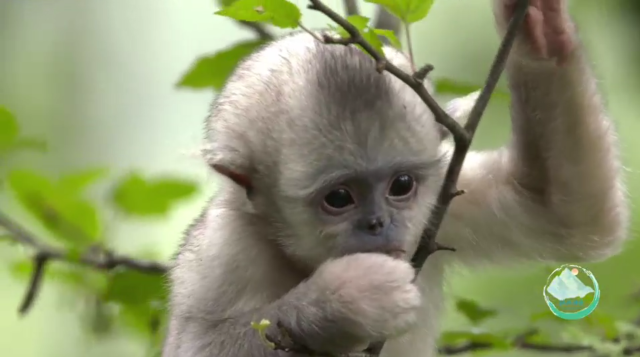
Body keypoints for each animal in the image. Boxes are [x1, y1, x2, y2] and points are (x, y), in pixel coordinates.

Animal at [164, 0, 632, 356]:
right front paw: (345, 301)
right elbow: (199, 345)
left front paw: (540, 31)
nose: (378, 224)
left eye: (401, 186)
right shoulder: (224, 249)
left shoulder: (445, 198)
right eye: (339, 197)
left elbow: (561, 210)